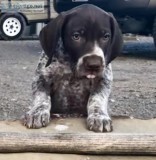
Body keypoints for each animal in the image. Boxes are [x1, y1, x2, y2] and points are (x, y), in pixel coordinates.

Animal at [23, 4, 123, 132]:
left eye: (106, 37)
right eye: (76, 36)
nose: (94, 64)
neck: (71, 66)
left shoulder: (103, 80)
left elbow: (97, 99)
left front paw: (99, 116)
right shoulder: (41, 78)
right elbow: (42, 98)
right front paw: (37, 113)